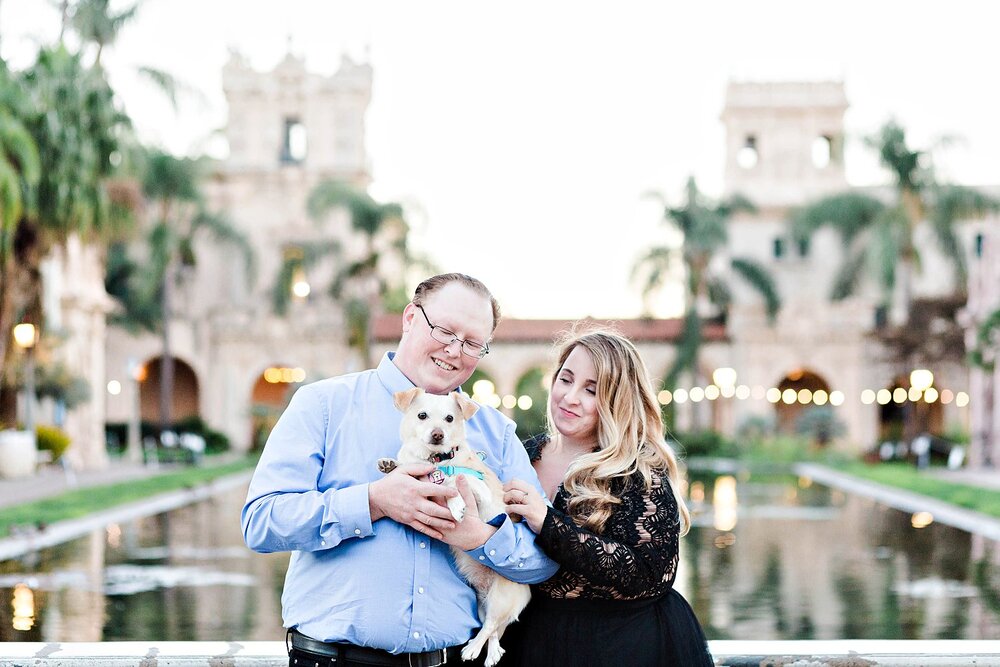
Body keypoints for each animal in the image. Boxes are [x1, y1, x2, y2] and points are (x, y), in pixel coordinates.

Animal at [376, 388, 532, 664]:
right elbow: (411, 469)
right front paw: (391, 464)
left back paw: (473, 650)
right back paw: (493, 654)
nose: (438, 434)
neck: (434, 459)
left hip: (499, 598)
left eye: (449, 419)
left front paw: (456, 503)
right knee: (494, 630)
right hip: (482, 603)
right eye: (422, 415)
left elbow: (453, 480)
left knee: (490, 626)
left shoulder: (479, 489)